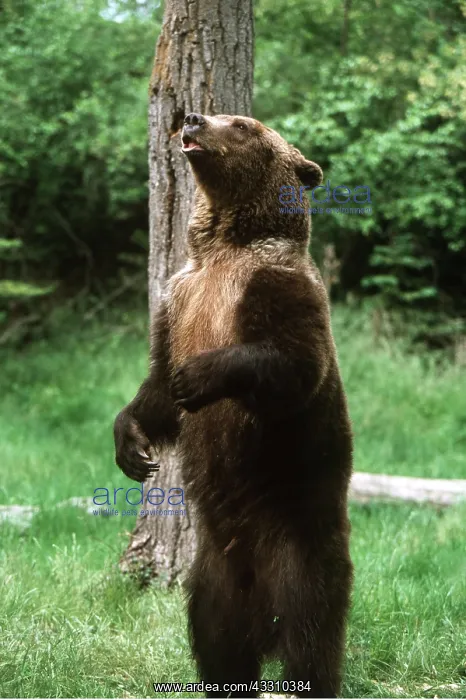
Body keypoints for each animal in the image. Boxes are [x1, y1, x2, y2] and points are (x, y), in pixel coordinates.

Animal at [113, 112, 354, 698]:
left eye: (243, 125)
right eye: (221, 116)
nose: (193, 117)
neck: (225, 248)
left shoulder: (275, 287)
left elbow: (293, 363)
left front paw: (198, 376)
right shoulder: (178, 299)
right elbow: (156, 386)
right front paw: (132, 443)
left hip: (298, 534)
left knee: (312, 627)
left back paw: (309, 674)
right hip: (214, 573)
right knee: (214, 635)